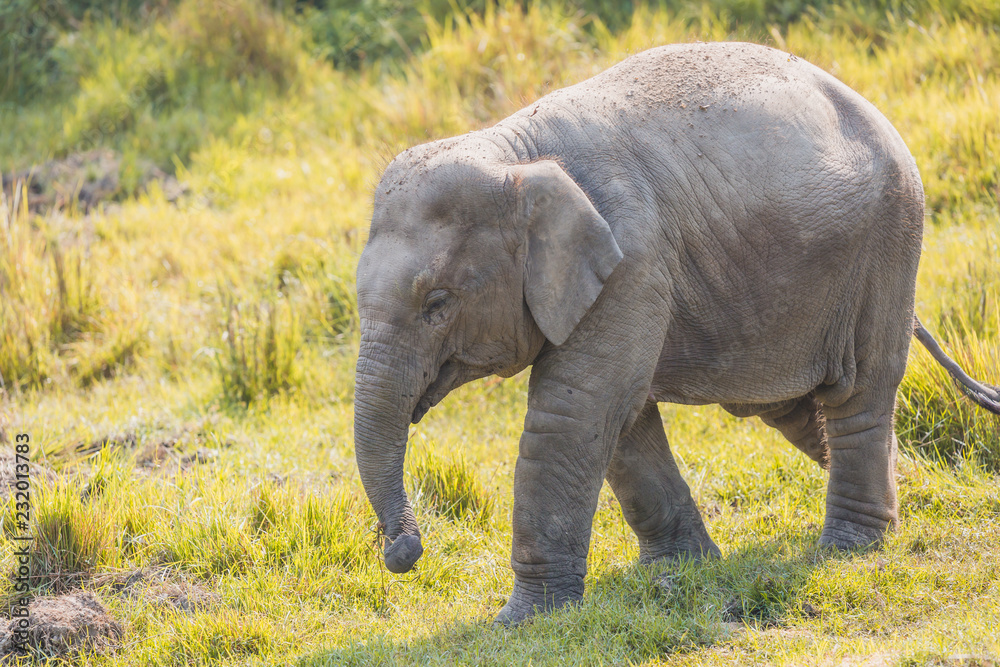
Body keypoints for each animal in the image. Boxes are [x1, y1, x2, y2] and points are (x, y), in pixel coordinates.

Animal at [353, 41, 999, 626]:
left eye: (437, 304)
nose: (404, 552)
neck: (513, 152)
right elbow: (623, 422)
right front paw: (680, 570)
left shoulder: (632, 263)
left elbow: (574, 415)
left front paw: (522, 622)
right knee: (789, 407)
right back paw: (912, 488)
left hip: (889, 241)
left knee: (857, 391)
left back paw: (852, 545)